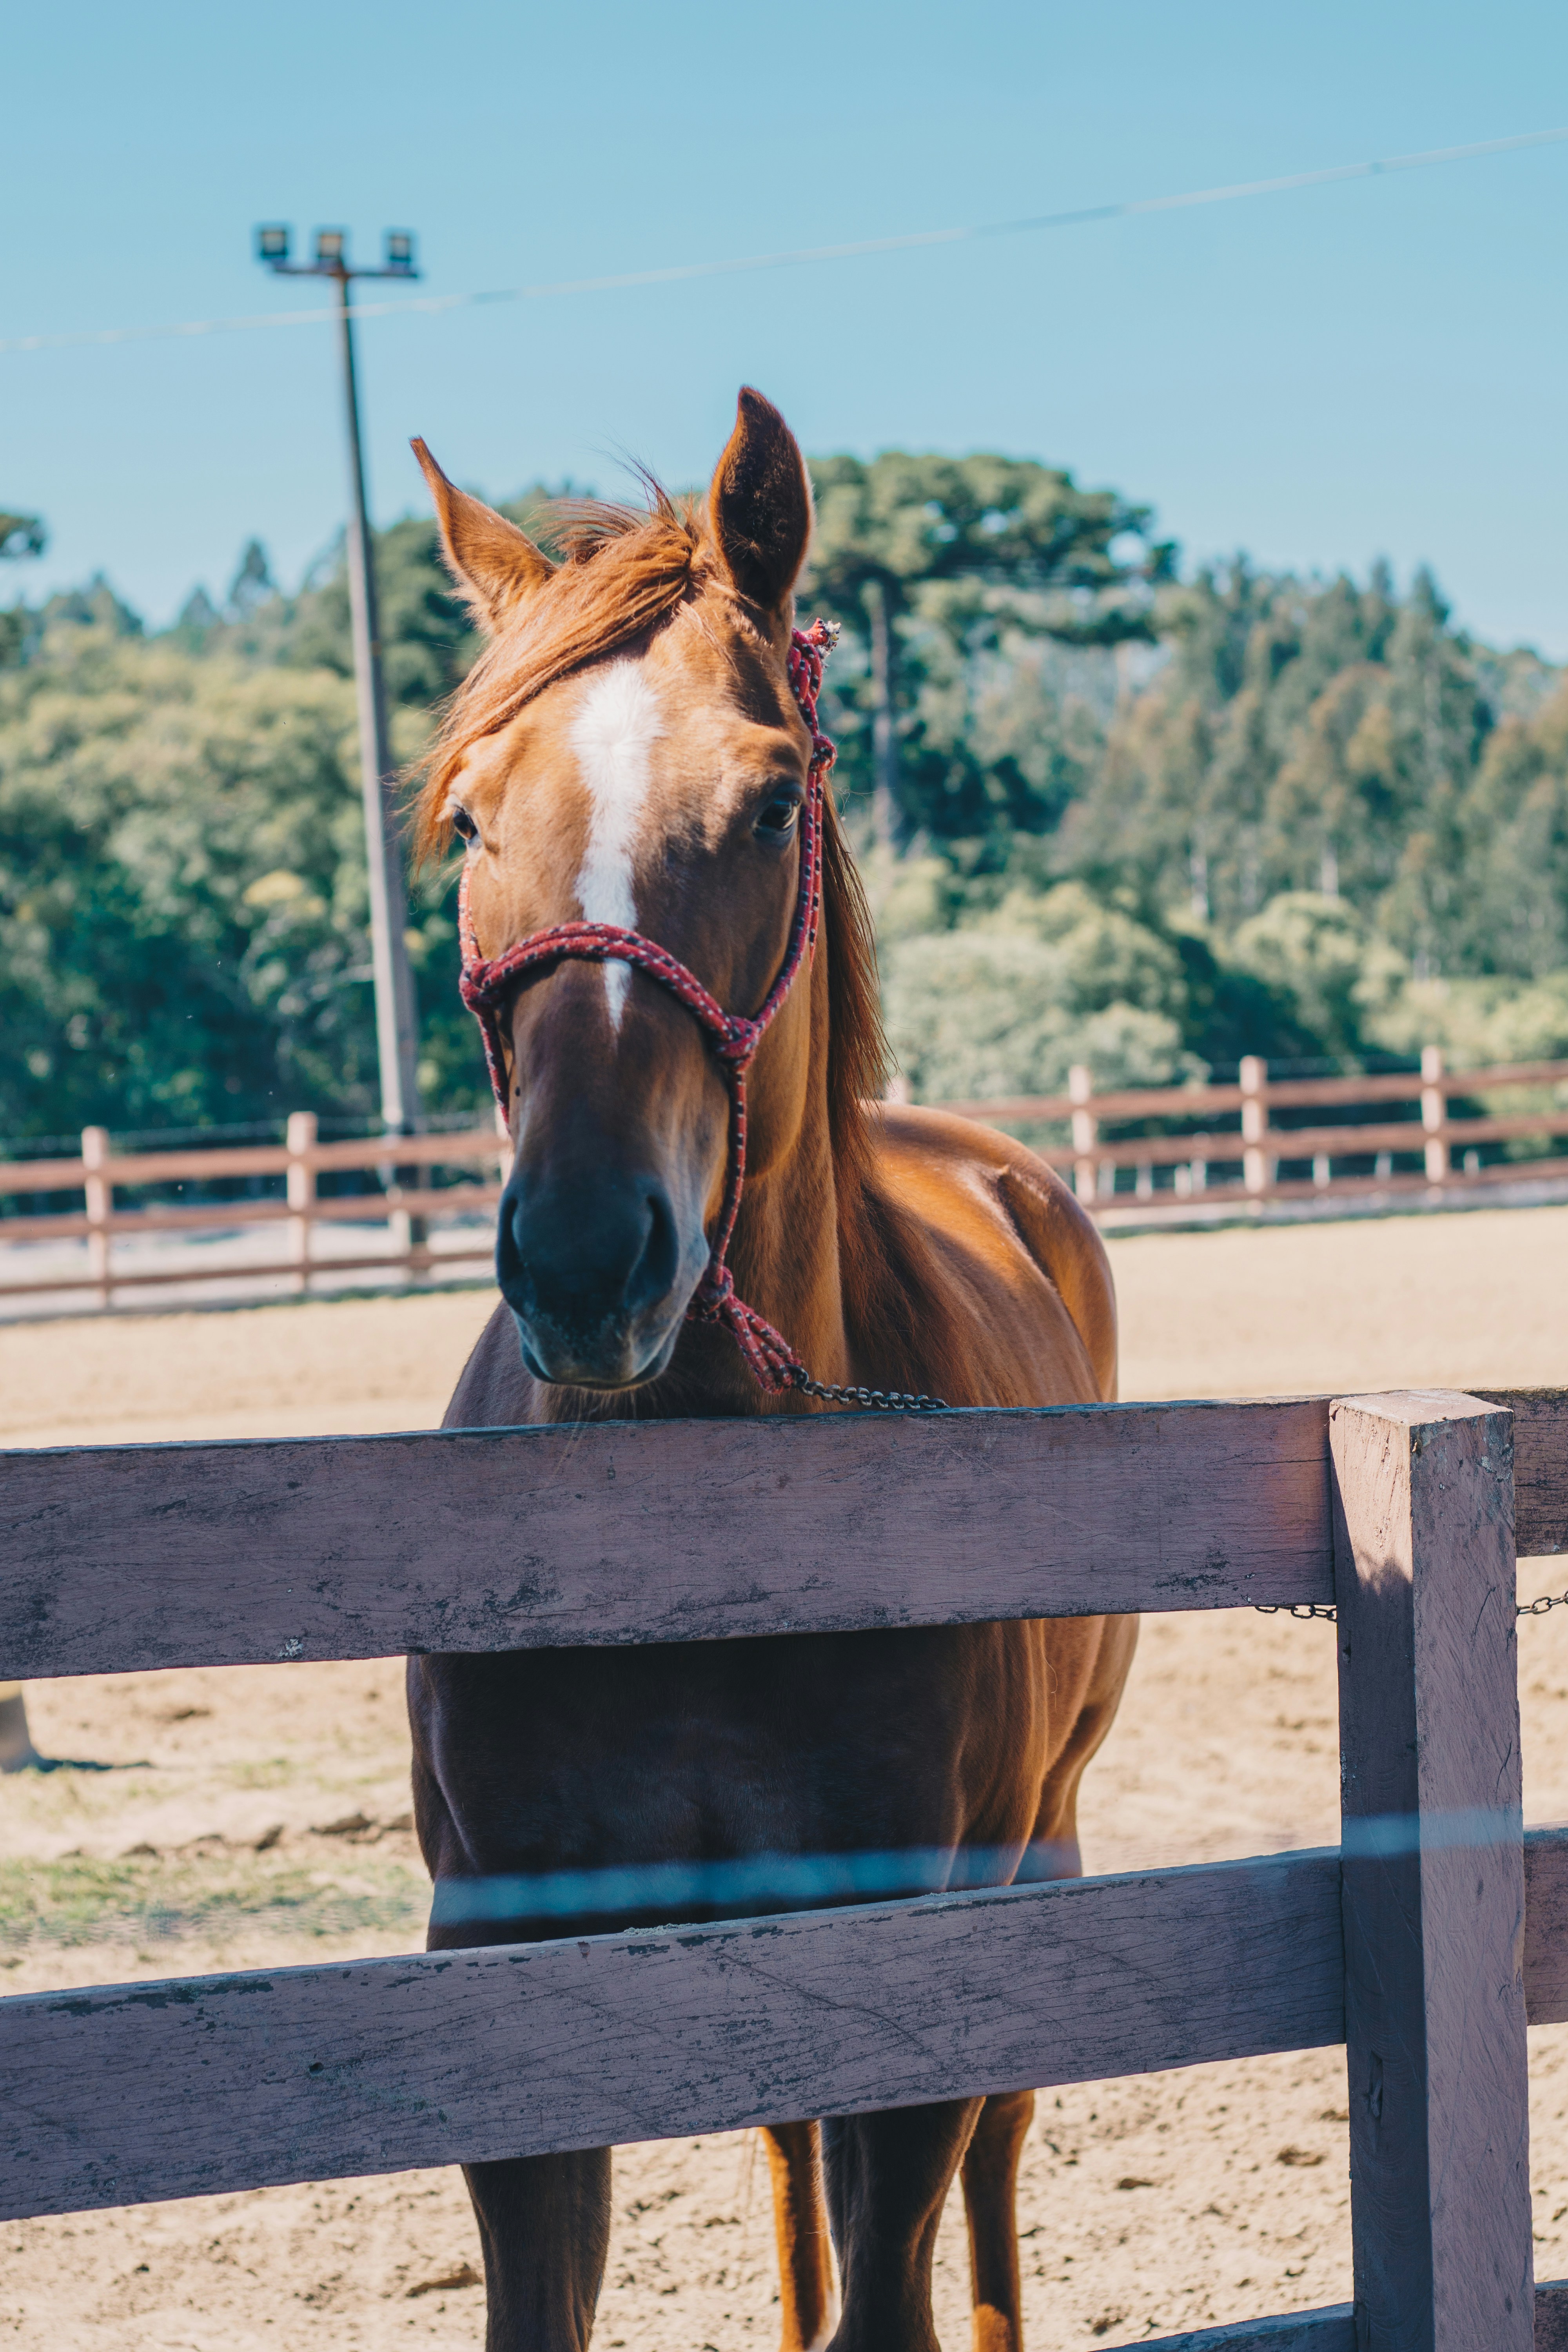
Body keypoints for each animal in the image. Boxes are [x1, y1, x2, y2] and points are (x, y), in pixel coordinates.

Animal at [405, 387, 1138, 2352]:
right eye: (469, 816)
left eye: (768, 798)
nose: (589, 1257)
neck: (710, 1542)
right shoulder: (504, 1964)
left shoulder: (915, 1935)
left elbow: (903, 2246)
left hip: (1042, 1846)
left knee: (996, 2153)